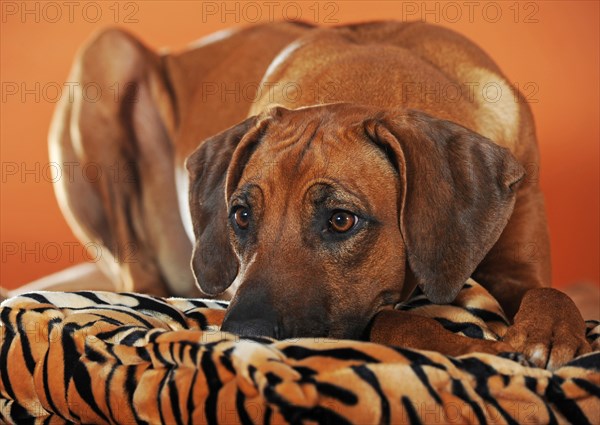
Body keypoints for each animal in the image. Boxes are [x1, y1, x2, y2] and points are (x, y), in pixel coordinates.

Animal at [9, 19, 592, 366]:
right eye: (241, 216)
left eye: (341, 220)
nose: (243, 330)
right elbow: (391, 318)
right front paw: (478, 349)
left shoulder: (518, 256)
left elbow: (550, 293)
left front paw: (545, 334)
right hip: (105, 54)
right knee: (136, 276)